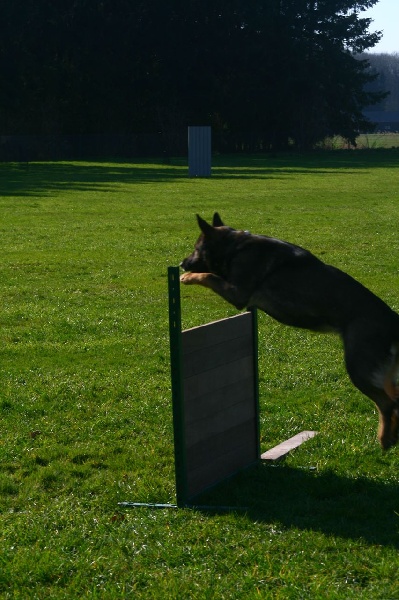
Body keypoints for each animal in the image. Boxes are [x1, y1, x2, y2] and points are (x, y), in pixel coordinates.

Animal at [181, 213, 399, 448]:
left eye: (196, 248)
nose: (182, 263)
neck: (235, 247)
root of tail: (392, 319)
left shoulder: (236, 292)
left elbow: (208, 275)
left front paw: (187, 277)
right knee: (395, 402)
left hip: (358, 368)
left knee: (387, 404)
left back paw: (384, 440)